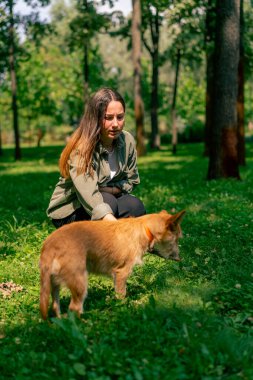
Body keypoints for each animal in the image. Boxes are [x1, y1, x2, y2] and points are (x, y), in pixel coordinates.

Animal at [40, 209, 186, 320]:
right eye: (176, 239)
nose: (180, 258)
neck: (144, 229)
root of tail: (49, 245)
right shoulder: (122, 272)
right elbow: (122, 295)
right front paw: (122, 311)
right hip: (80, 283)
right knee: (74, 309)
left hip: (54, 285)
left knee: (55, 306)